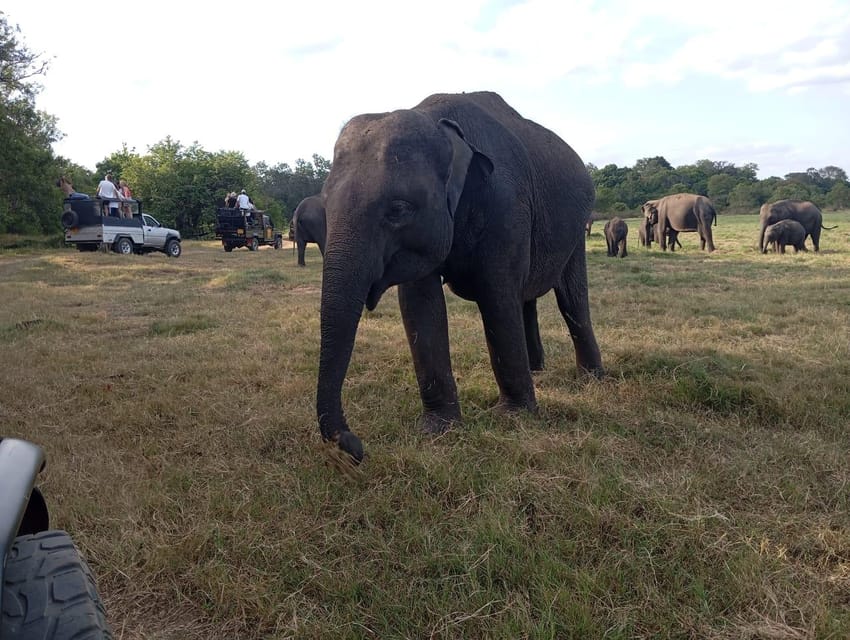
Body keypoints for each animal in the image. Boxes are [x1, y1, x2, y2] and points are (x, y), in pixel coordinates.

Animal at [316, 90, 604, 462]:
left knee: (571, 298)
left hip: (576, 228)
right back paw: (537, 371)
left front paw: (513, 418)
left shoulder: (507, 205)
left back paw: (591, 379)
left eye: (398, 210)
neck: (438, 123)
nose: (355, 446)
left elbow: (496, 295)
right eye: (324, 206)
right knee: (526, 298)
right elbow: (420, 306)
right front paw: (437, 428)